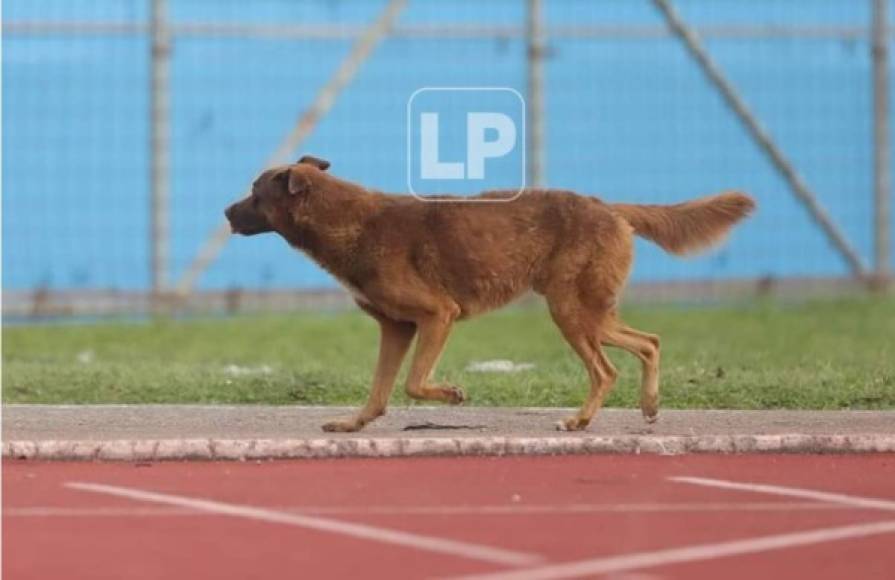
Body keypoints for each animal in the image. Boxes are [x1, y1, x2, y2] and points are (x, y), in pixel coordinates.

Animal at [226, 156, 756, 432]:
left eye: (255, 192)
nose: (225, 213)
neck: (347, 220)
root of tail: (608, 207)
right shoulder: (396, 327)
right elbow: (379, 392)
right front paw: (353, 424)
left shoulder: (437, 314)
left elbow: (414, 383)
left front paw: (452, 394)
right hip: (590, 311)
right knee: (649, 342)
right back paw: (648, 406)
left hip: (570, 311)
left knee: (606, 370)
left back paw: (578, 421)